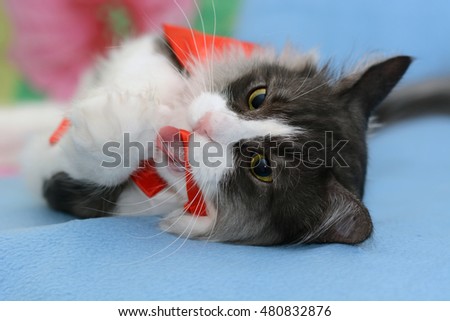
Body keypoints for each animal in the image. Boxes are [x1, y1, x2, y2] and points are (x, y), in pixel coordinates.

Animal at [23, 25, 412, 245]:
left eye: (262, 168)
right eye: (258, 97)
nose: (206, 124)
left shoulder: (74, 194)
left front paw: (114, 120)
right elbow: (153, 70)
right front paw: (148, 104)